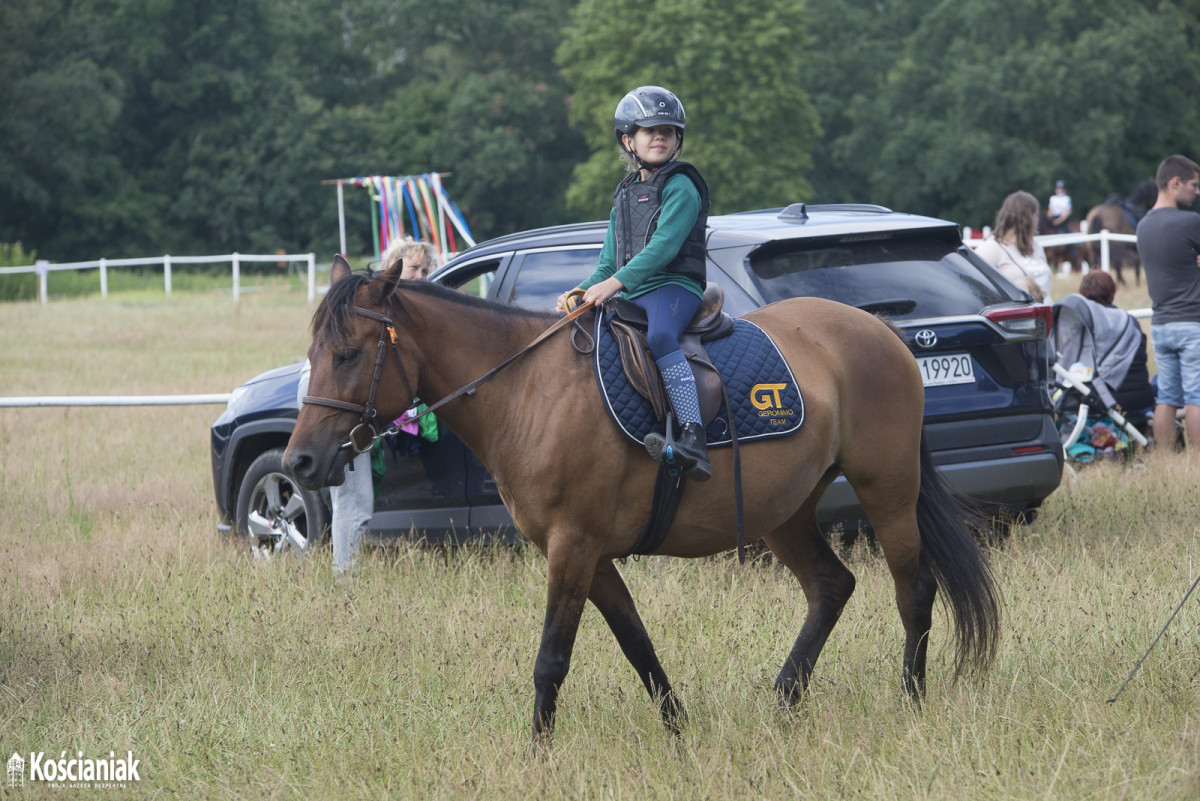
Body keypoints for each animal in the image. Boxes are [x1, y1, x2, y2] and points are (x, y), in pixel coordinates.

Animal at [283, 256, 1003, 743]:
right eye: (313, 351)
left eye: (348, 354)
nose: (299, 462)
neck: (527, 390)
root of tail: (880, 330)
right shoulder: (590, 554)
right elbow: (637, 645)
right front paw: (679, 728)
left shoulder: (572, 548)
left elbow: (551, 658)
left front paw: (539, 751)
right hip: (784, 513)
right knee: (832, 586)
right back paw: (783, 699)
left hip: (889, 491)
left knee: (914, 591)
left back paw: (909, 700)